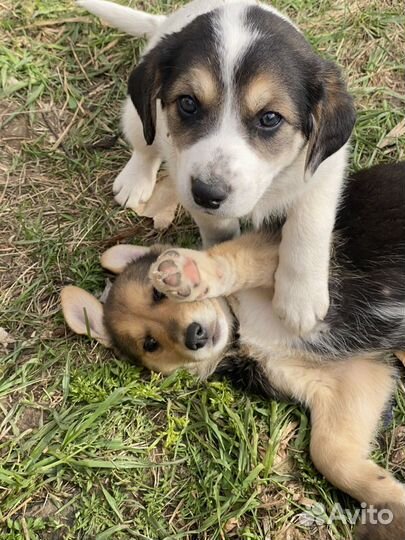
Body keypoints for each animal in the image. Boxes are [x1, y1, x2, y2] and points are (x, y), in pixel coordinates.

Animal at [60, 163, 404, 536]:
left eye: (158, 294)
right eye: (150, 344)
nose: (195, 336)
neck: (240, 325)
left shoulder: (275, 253)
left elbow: (230, 260)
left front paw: (190, 272)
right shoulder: (343, 379)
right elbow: (331, 455)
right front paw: (393, 503)